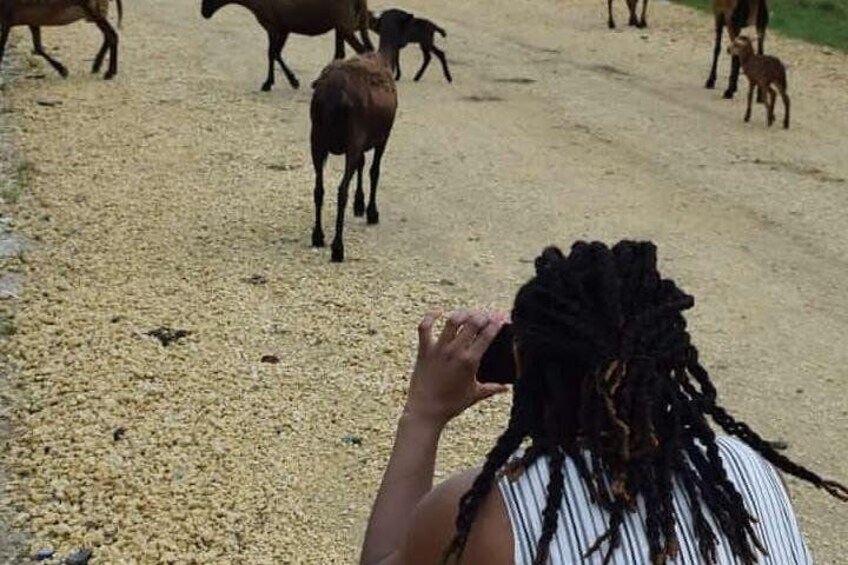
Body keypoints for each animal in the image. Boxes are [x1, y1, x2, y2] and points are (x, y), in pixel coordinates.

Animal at [202, 0, 374, 91]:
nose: (204, 12)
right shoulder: (281, 28)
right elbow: (274, 53)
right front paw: (282, 81)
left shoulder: (274, 26)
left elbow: (273, 53)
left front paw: (279, 82)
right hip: (343, 26)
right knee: (343, 53)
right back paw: (319, 82)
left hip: (345, 26)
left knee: (361, 51)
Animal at [310, 11, 416, 262]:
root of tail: (332, 93)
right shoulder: (382, 137)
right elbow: (374, 170)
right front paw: (371, 212)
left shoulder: (364, 139)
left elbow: (361, 164)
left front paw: (359, 205)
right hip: (351, 138)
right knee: (341, 190)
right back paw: (338, 248)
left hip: (317, 138)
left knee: (319, 189)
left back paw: (317, 236)